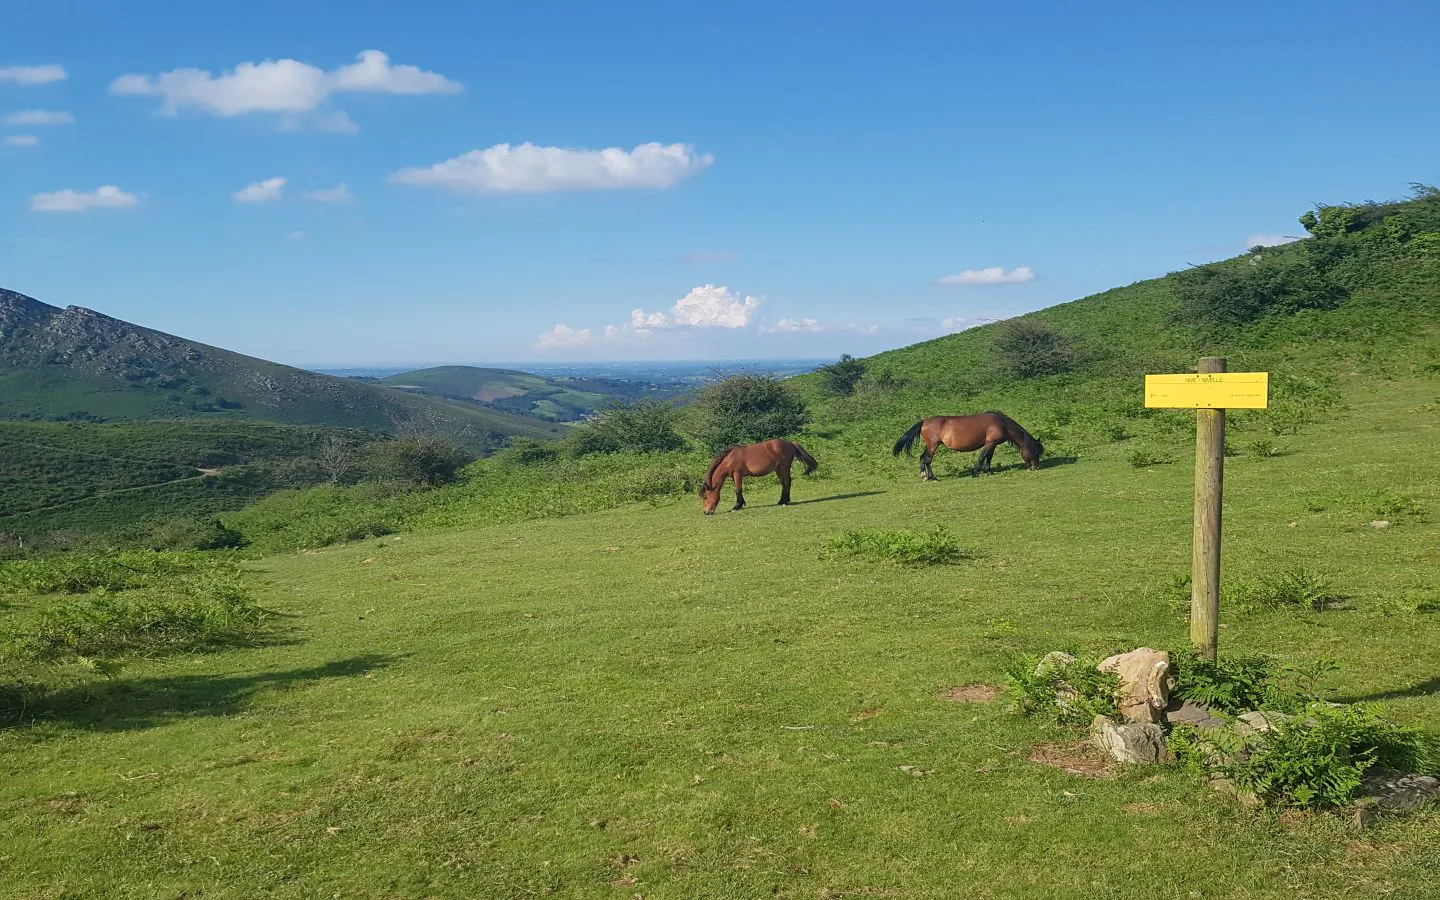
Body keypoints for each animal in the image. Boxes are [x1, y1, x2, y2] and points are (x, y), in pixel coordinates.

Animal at [892, 411, 1042, 480]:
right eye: (1036, 452)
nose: (1035, 467)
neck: (1002, 423)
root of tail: (924, 422)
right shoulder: (990, 443)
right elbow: (982, 457)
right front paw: (975, 472)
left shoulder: (992, 444)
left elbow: (989, 458)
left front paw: (988, 471)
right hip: (933, 446)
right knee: (928, 460)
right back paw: (933, 477)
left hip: (930, 445)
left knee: (923, 458)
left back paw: (924, 475)